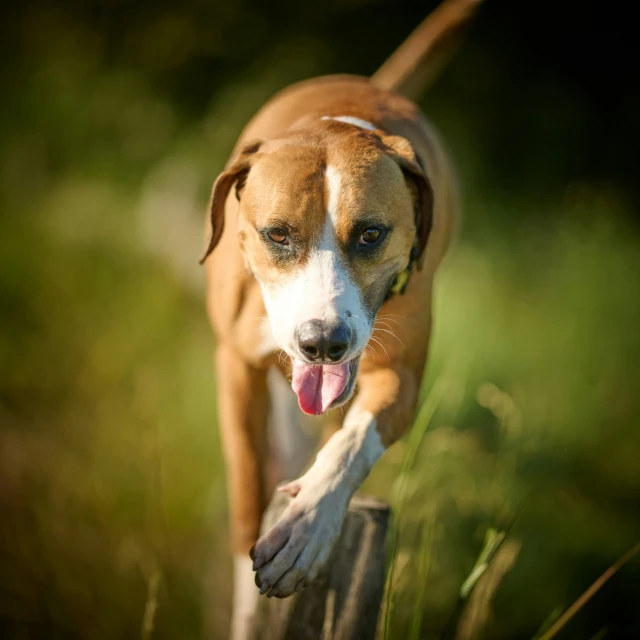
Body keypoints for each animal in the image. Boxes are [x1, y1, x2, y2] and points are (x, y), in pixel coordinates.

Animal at [202, 0, 482, 636]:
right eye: (277, 235)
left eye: (372, 234)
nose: (322, 343)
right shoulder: (235, 367)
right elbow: (246, 493)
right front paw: (248, 608)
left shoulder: (400, 379)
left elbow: (353, 443)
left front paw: (307, 526)